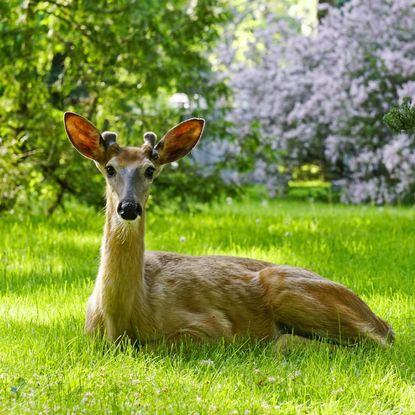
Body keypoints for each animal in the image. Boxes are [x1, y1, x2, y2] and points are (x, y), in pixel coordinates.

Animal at [63, 112, 394, 350]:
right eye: (109, 168)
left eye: (150, 170)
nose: (129, 207)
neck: (121, 319)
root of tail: (377, 318)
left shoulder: (209, 328)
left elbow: (157, 346)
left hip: (285, 287)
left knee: (373, 343)